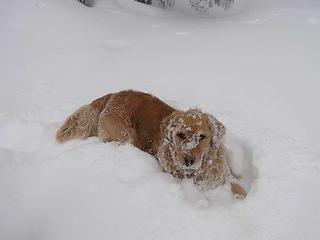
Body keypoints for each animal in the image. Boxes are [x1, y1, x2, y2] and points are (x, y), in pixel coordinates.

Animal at [56, 91, 246, 198]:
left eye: (202, 136)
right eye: (180, 135)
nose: (188, 160)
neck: (196, 171)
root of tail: (112, 95)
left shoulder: (224, 175)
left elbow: (238, 187)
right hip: (126, 136)